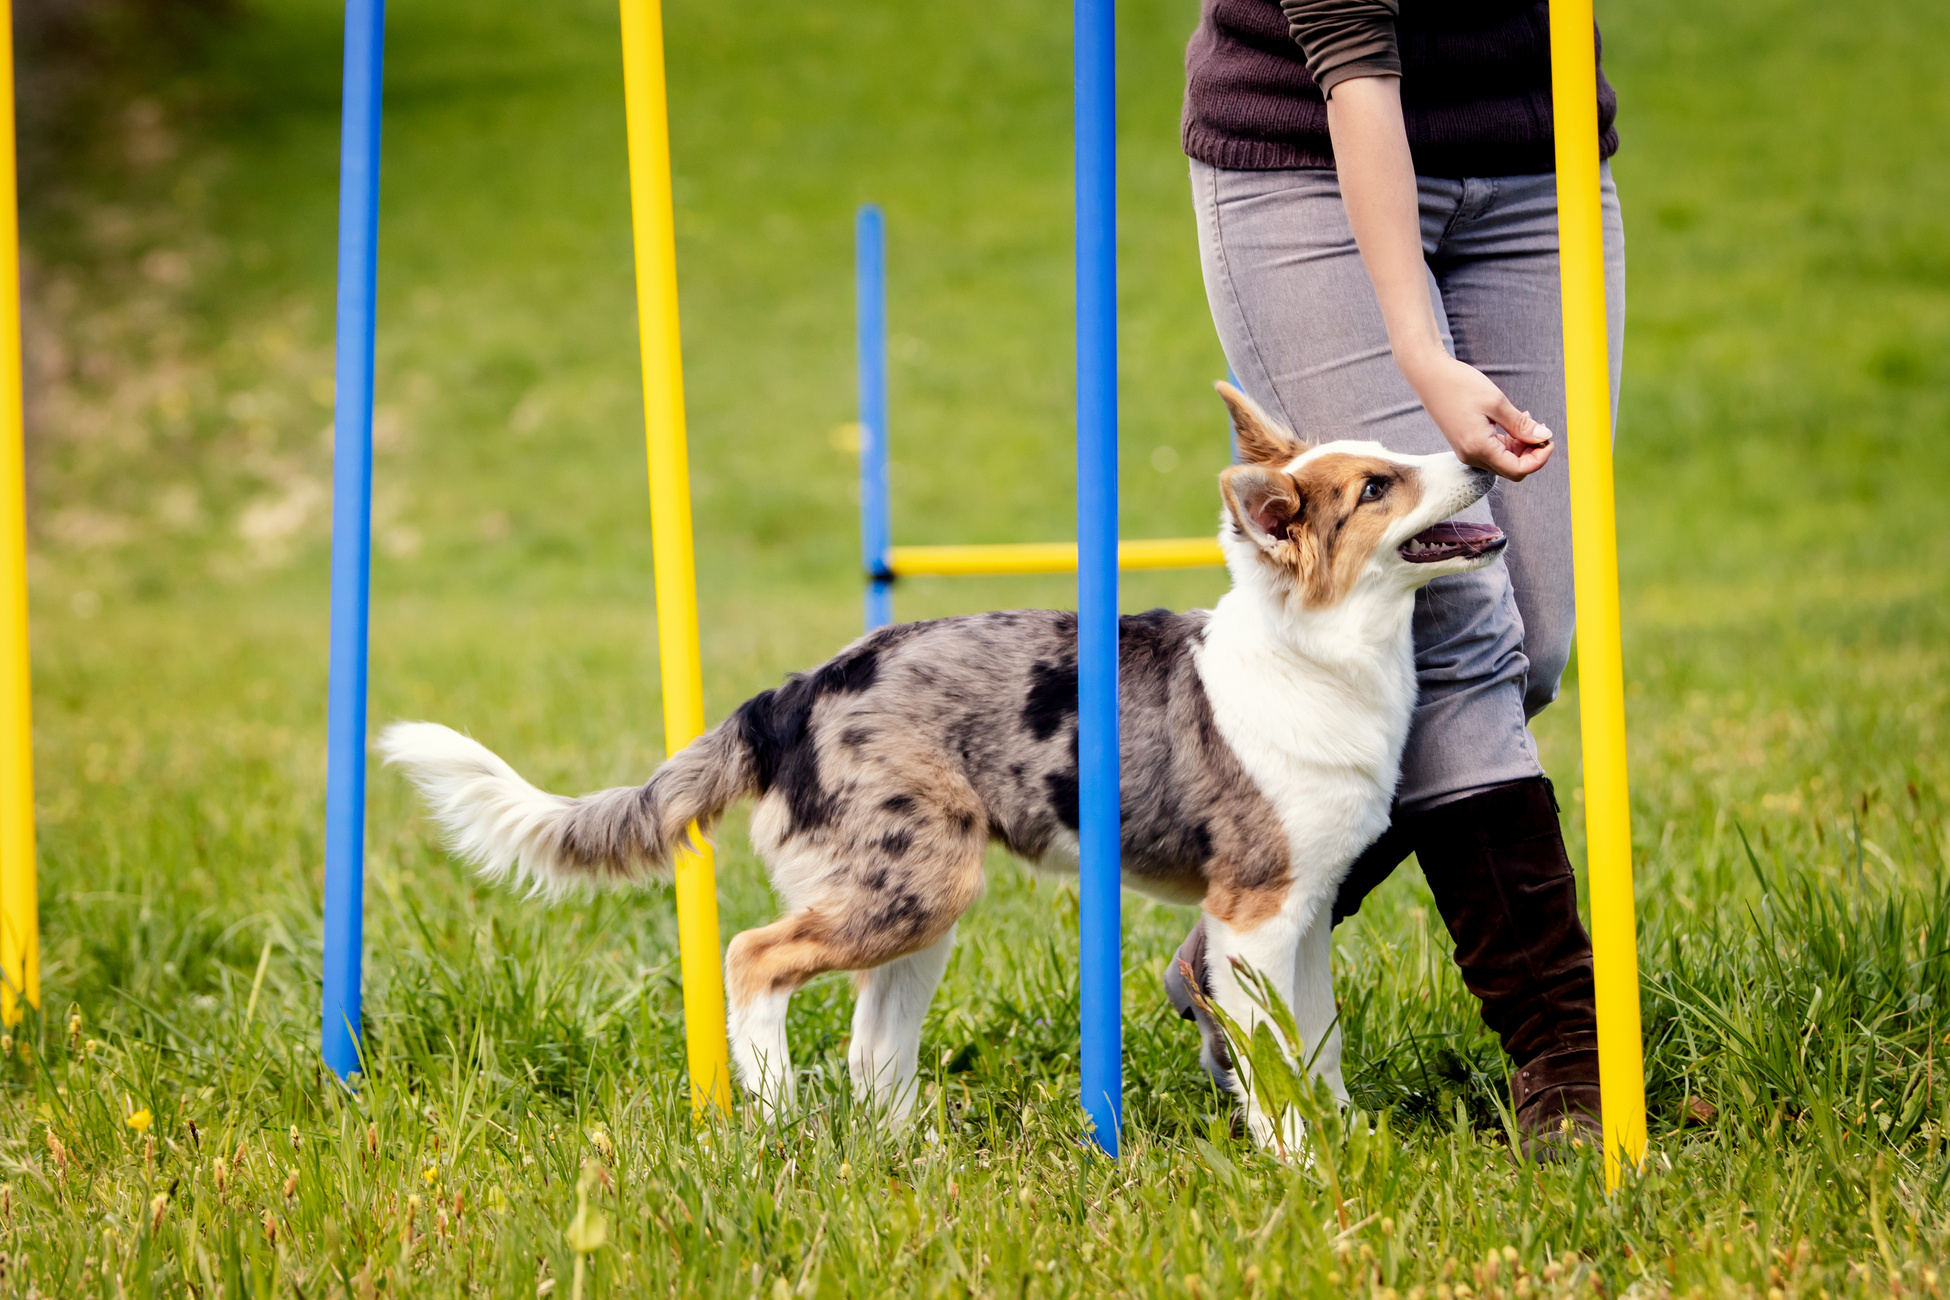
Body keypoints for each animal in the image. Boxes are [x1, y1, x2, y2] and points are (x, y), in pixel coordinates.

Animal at [376, 383, 1505, 1146]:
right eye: (1377, 486)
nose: (1485, 450)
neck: (1319, 657)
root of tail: (793, 693)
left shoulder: (1303, 916)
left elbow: (1318, 1045)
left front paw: (1343, 1143)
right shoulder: (1254, 915)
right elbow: (1274, 1063)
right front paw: (1300, 1165)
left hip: (922, 899)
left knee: (873, 1047)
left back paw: (896, 1152)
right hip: (913, 884)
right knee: (753, 957)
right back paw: (776, 1114)